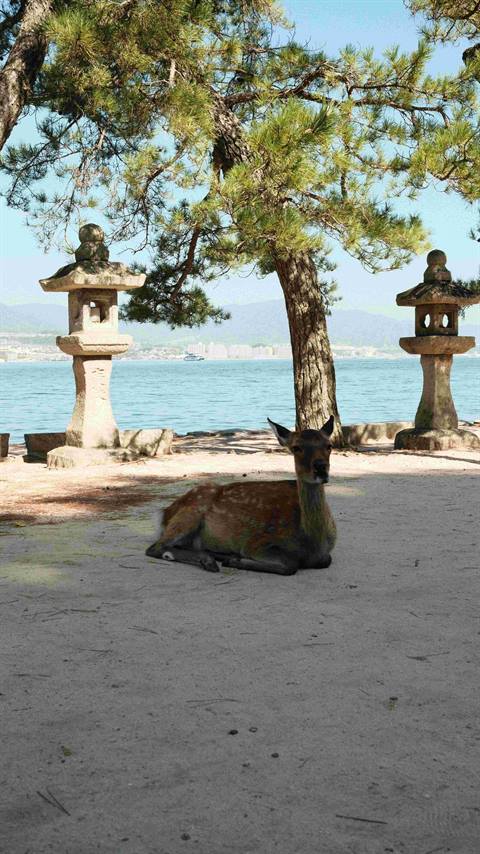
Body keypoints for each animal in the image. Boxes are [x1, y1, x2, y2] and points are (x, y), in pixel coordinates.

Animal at [145, 416, 337, 576]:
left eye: (329, 445)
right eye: (296, 447)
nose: (320, 467)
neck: (312, 544)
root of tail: (164, 513)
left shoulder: (325, 554)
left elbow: (326, 560)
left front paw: (231, 558)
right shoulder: (256, 542)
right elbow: (290, 565)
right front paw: (235, 560)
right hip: (191, 511)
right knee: (156, 547)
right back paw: (210, 561)